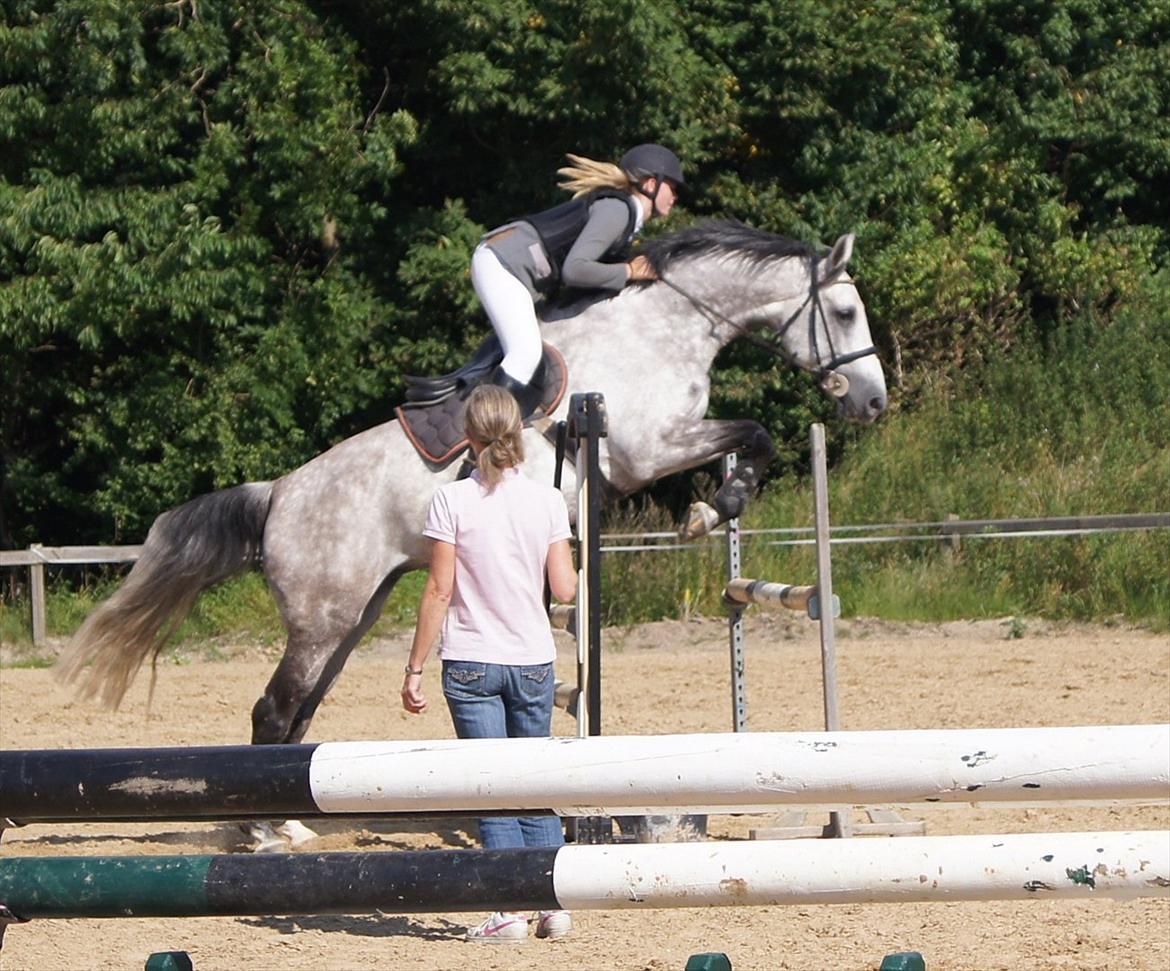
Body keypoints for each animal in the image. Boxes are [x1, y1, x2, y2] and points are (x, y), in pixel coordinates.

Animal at [57, 219, 884, 851]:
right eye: (845, 312)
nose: (873, 402)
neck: (662, 328)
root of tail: (280, 493)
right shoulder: (650, 447)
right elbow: (757, 430)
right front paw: (711, 510)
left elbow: (753, 437)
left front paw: (720, 501)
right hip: (324, 617)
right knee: (272, 709)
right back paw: (260, 831)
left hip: (353, 615)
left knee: (300, 713)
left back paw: (289, 820)